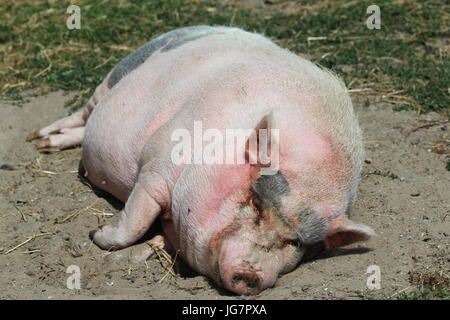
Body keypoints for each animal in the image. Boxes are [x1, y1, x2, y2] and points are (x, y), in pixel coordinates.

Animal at [26, 25, 374, 296]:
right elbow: (136, 220)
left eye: (297, 243)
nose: (251, 274)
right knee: (81, 114)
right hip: (113, 78)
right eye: (256, 203)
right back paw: (39, 140)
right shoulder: (156, 167)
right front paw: (96, 233)